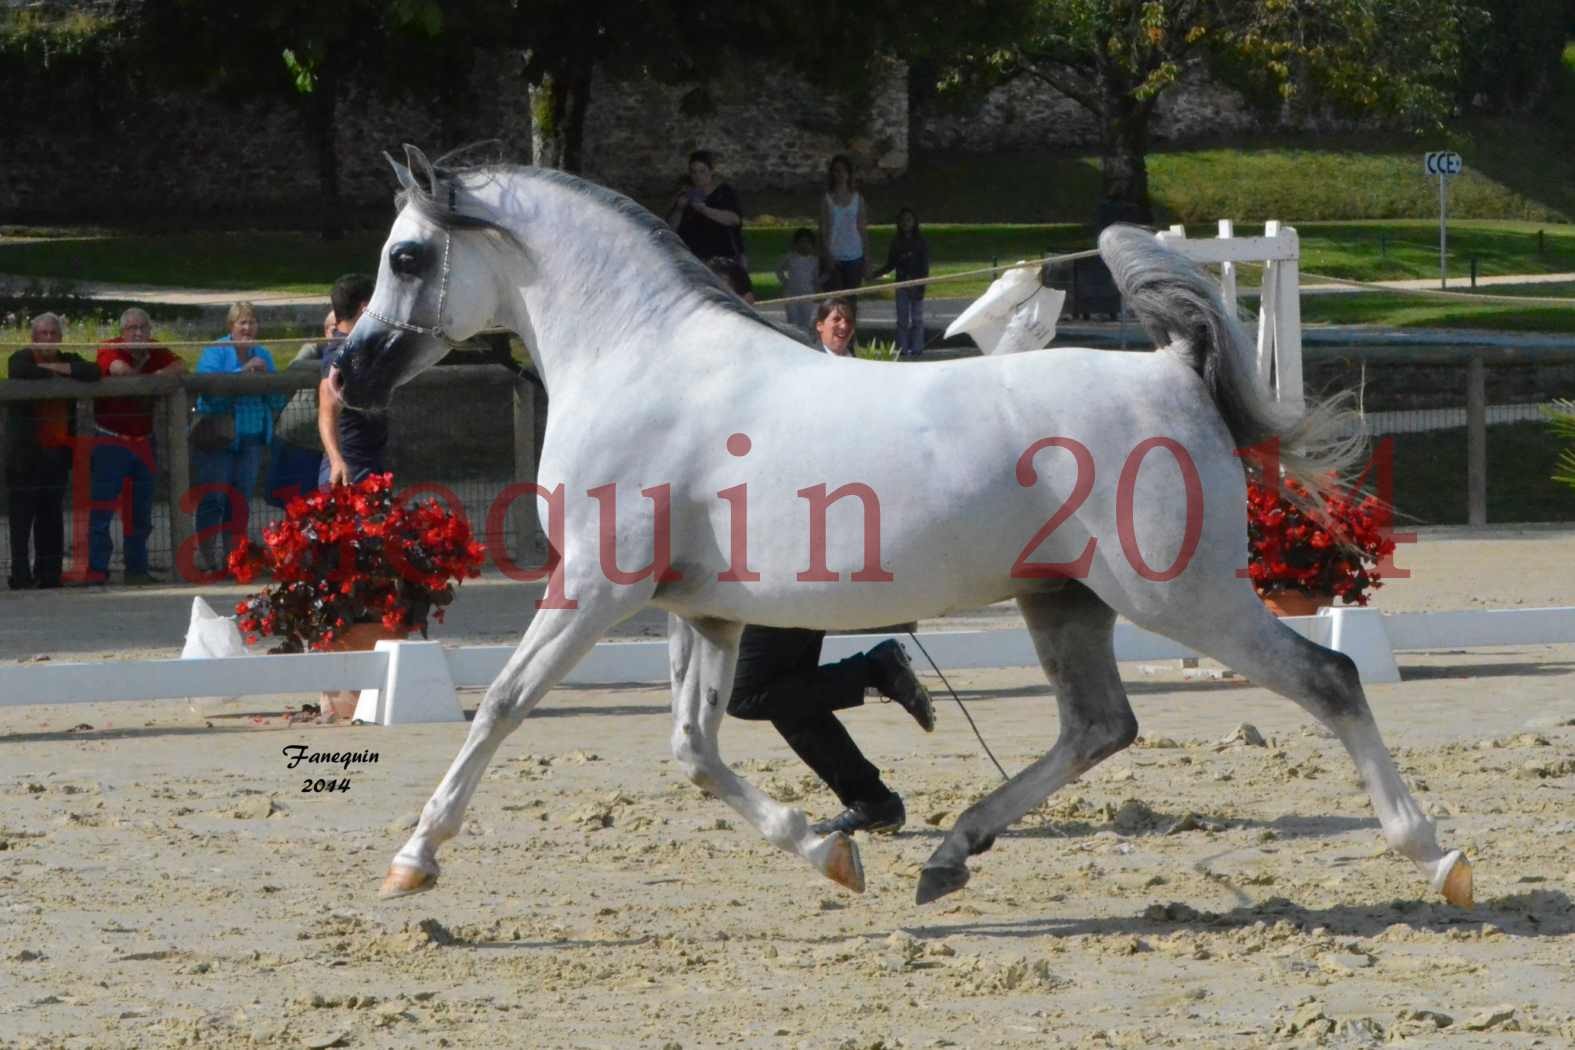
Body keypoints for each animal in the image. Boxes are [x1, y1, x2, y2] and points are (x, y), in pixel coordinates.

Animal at [338, 149, 1467, 913]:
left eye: (407, 255)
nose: (350, 372)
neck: (638, 359)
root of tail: (1171, 371)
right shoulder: (701, 613)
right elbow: (695, 749)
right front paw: (830, 852)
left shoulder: (594, 589)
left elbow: (503, 705)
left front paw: (412, 860)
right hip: (1066, 602)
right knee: (1098, 726)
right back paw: (948, 854)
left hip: (1182, 595)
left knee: (1328, 680)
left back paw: (1436, 856)